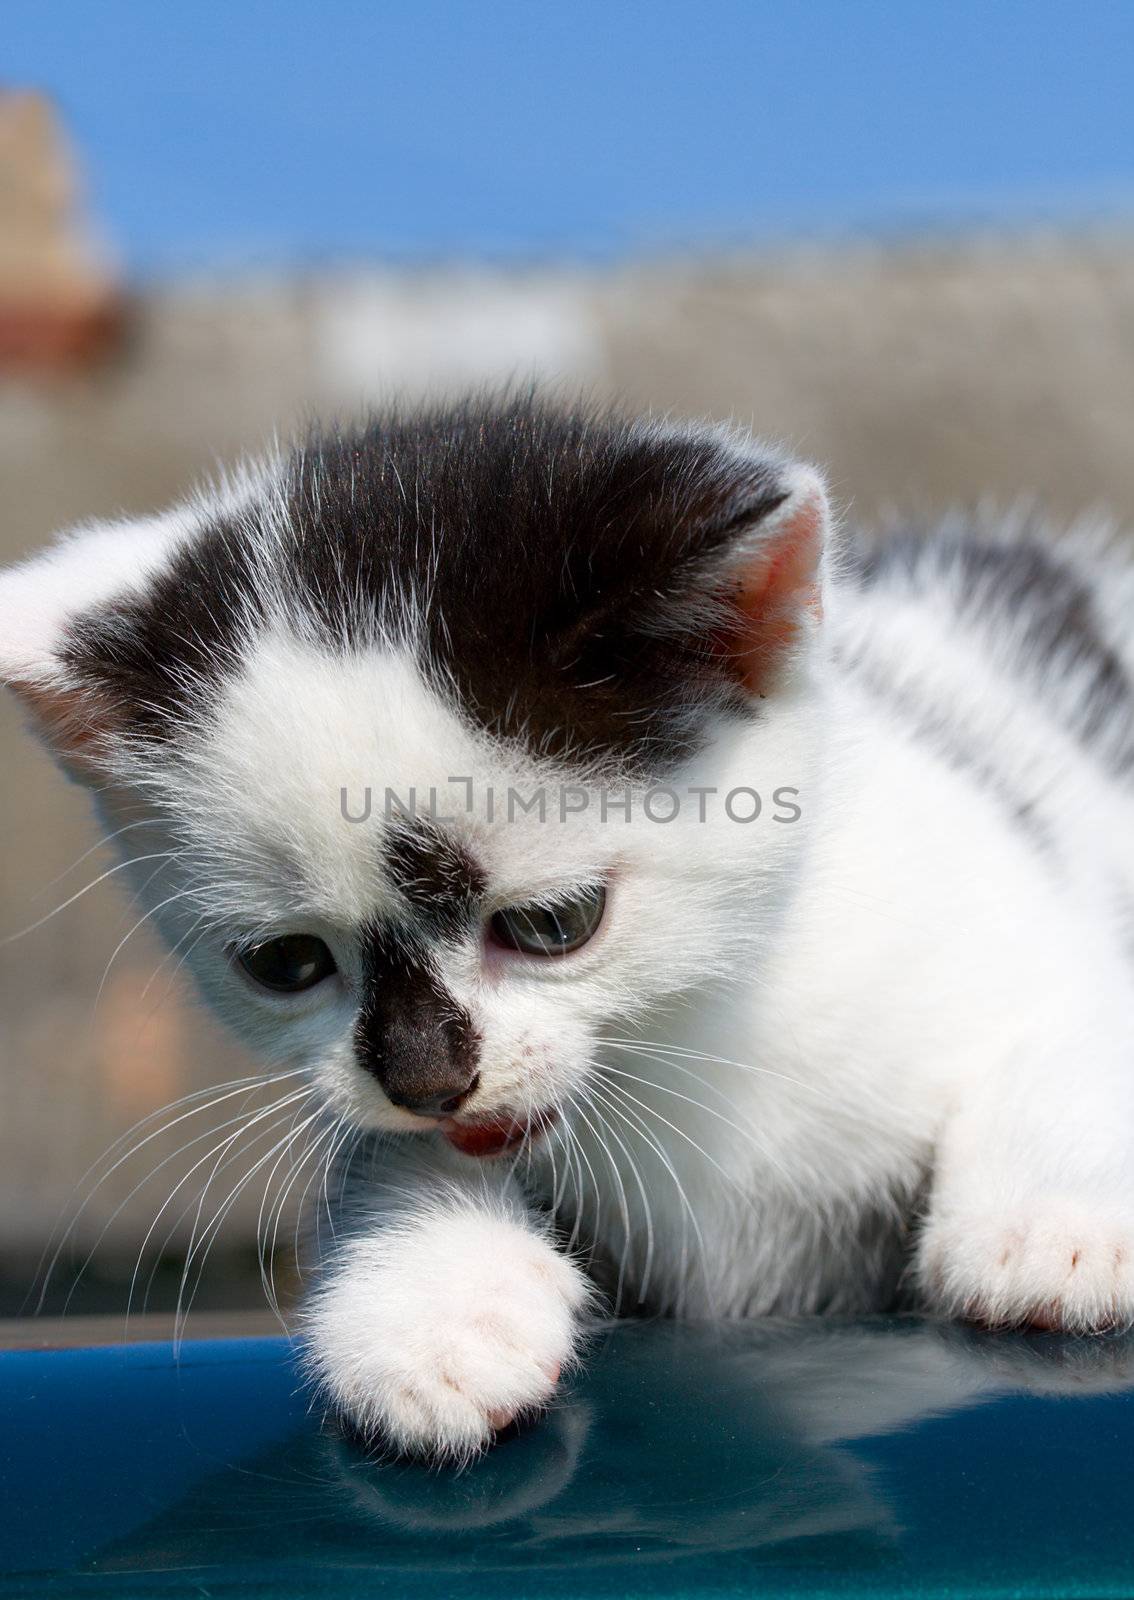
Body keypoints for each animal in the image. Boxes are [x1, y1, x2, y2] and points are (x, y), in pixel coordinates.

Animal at [2, 393, 1132, 1459]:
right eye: (285, 963)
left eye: (554, 924)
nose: (426, 1080)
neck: (695, 1038)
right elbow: (389, 1154)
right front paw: (433, 1308)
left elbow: (1074, 1032)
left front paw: (1052, 1229)